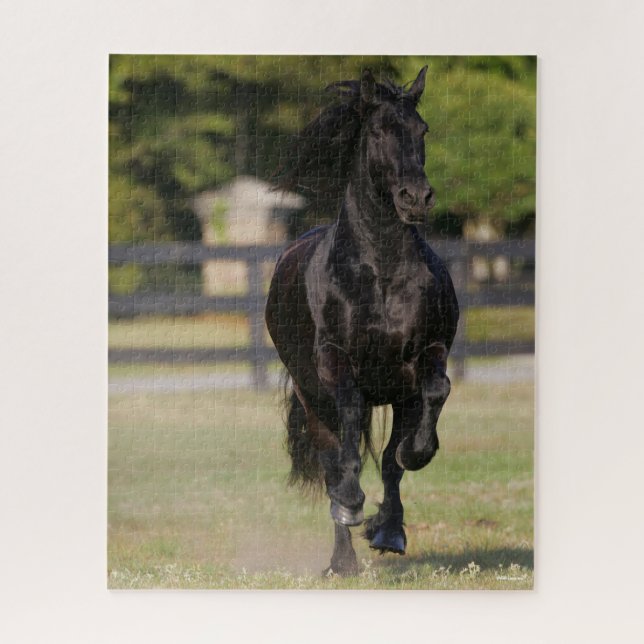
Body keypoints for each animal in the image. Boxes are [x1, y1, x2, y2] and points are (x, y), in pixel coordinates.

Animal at [265, 67, 459, 576]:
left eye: (422, 130)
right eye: (377, 131)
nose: (416, 197)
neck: (381, 272)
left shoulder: (423, 361)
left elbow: (424, 413)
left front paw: (390, 523)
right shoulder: (336, 364)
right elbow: (350, 429)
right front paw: (352, 503)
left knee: (389, 459)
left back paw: (386, 528)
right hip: (312, 397)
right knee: (332, 458)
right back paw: (342, 555)